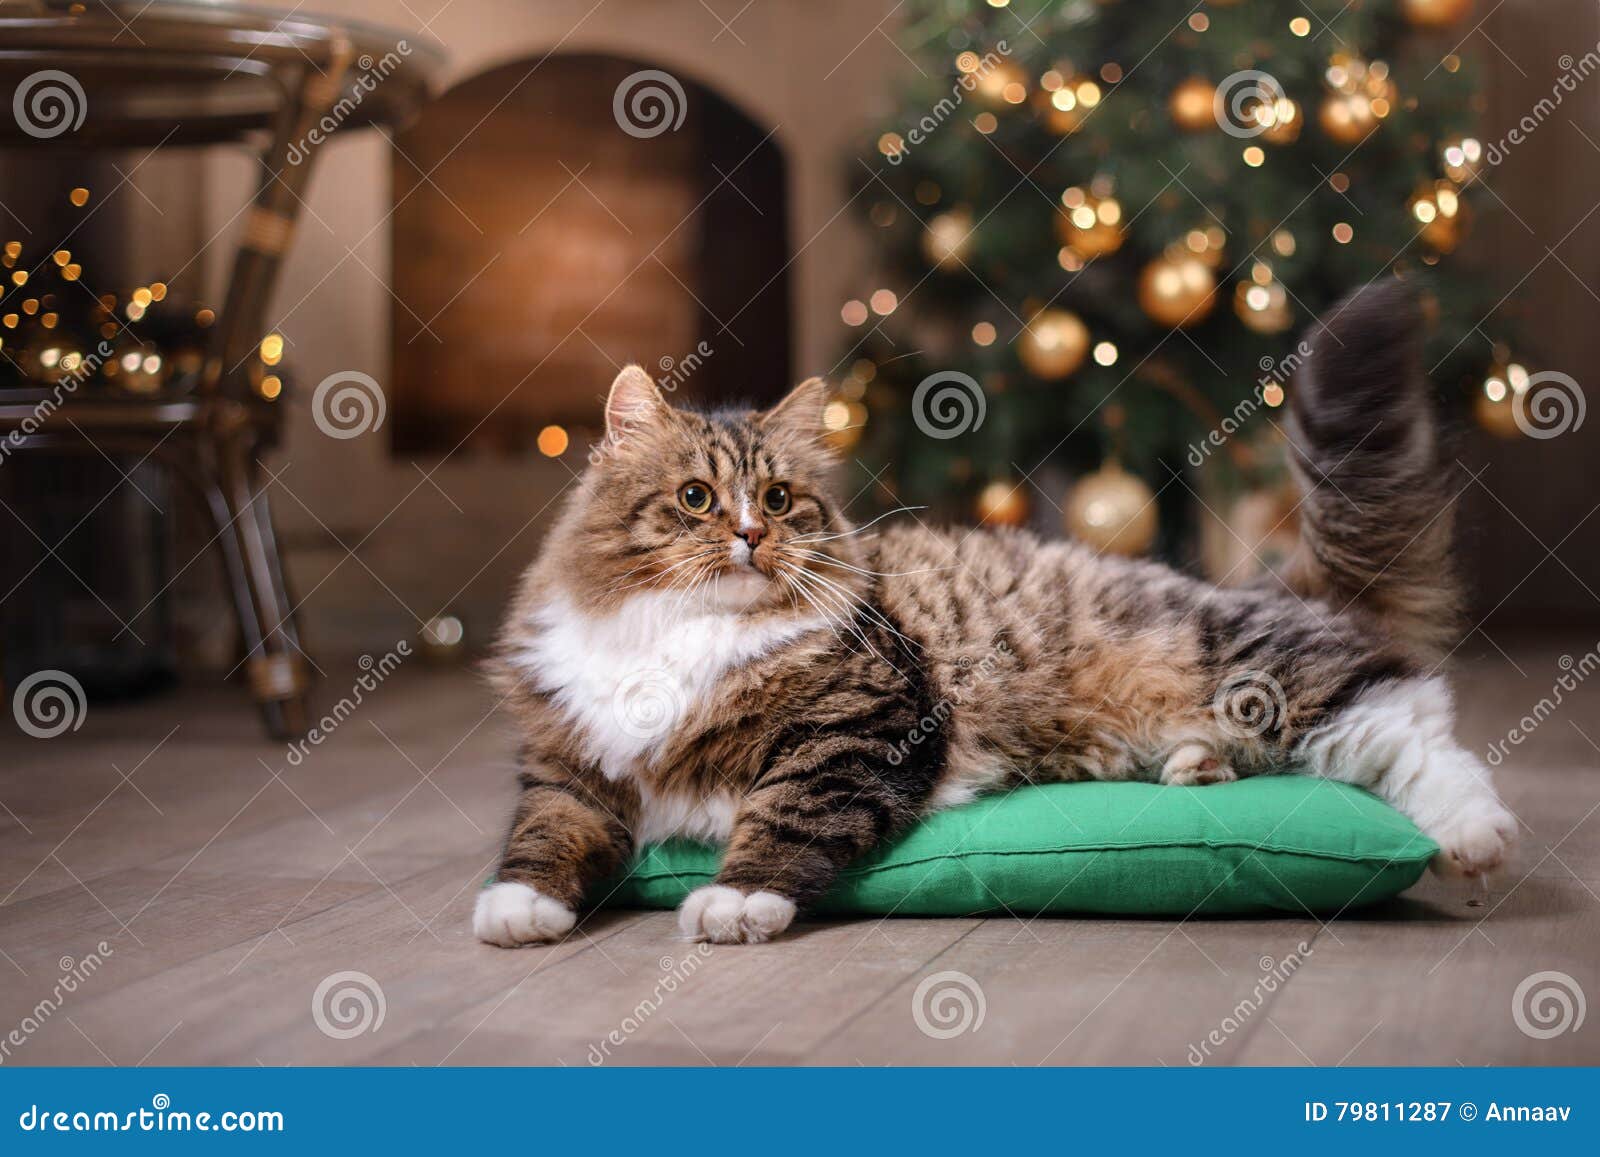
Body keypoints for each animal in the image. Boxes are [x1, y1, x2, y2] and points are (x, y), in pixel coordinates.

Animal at [470, 283, 1510, 947]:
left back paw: (1473, 836)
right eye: (695, 499)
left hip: (1264, 676)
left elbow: (783, 816)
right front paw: (517, 910)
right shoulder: (568, 760)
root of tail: (1251, 585)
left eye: (779, 499)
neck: (685, 632)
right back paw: (1194, 768)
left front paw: (732, 904)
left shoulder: (863, 723)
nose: (752, 536)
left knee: (1410, 724)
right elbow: (543, 832)